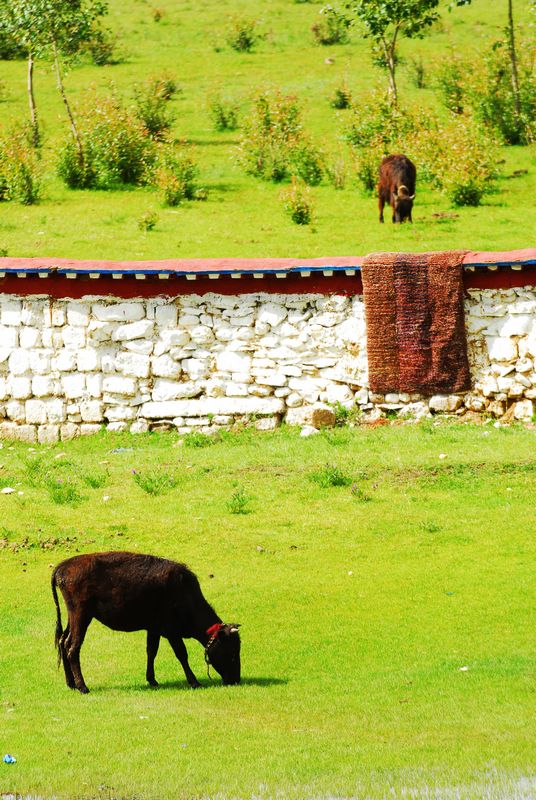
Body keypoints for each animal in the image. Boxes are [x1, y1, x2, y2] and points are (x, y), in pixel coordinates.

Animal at [51, 552, 241, 692]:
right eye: (231, 652)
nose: (236, 680)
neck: (184, 591)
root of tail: (62, 566)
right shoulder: (171, 631)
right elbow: (181, 654)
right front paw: (194, 681)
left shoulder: (154, 629)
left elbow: (151, 651)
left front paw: (152, 680)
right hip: (81, 615)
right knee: (72, 646)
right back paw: (82, 686)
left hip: (74, 617)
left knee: (62, 641)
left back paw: (71, 684)